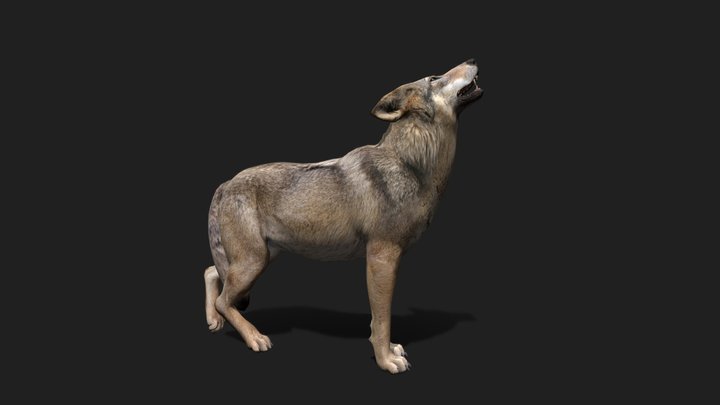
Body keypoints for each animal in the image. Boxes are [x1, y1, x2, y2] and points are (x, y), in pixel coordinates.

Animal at [203, 59, 483, 373]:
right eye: (435, 77)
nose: (472, 60)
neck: (411, 164)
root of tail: (225, 183)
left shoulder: (387, 260)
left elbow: (378, 321)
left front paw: (389, 351)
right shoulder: (382, 258)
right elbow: (382, 319)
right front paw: (386, 361)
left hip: (261, 259)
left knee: (211, 273)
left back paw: (214, 322)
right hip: (253, 263)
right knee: (224, 300)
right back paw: (254, 337)